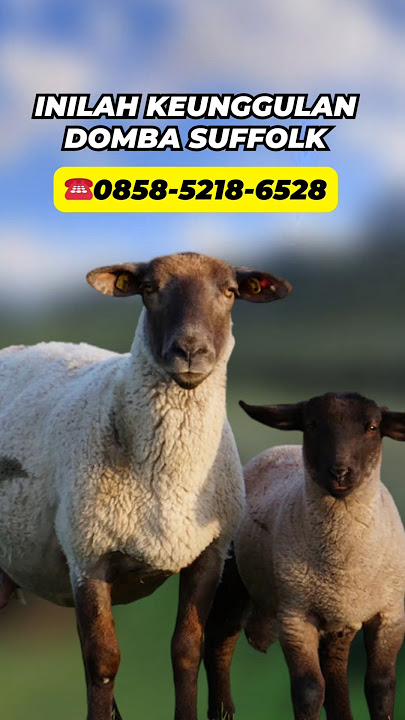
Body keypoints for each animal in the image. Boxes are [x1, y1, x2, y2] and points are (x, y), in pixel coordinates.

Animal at [0, 251, 292, 720]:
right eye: (150, 288)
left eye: (230, 292)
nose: (190, 350)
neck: (168, 480)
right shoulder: (89, 555)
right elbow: (103, 663)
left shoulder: (208, 554)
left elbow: (186, 649)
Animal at [204, 392, 405, 720]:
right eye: (311, 424)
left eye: (373, 427)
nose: (340, 472)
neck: (343, 561)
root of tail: (276, 449)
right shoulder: (296, 616)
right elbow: (308, 690)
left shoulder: (390, 614)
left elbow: (381, 687)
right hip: (232, 581)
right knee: (218, 643)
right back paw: (222, 710)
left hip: (337, 617)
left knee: (335, 668)